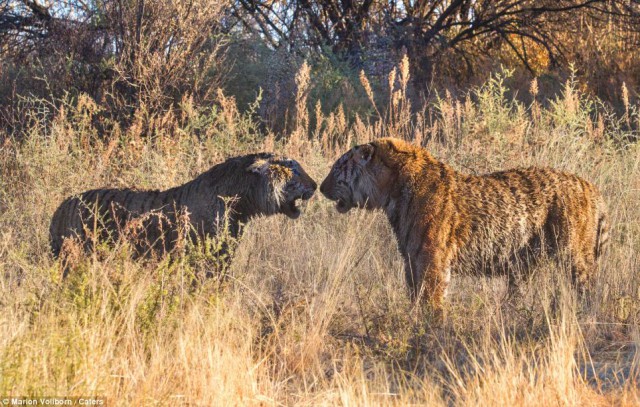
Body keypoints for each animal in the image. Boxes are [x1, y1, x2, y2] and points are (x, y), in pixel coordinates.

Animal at [320, 138, 608, 316]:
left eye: (338, 167)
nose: (321, 188)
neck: (391, 191)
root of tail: (592, 187)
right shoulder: (411, 259)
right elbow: (414, 295)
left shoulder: (431, 259)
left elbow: (431, 298)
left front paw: (431, 328)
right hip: (525, 265)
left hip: (576, 256)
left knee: (589, 291)